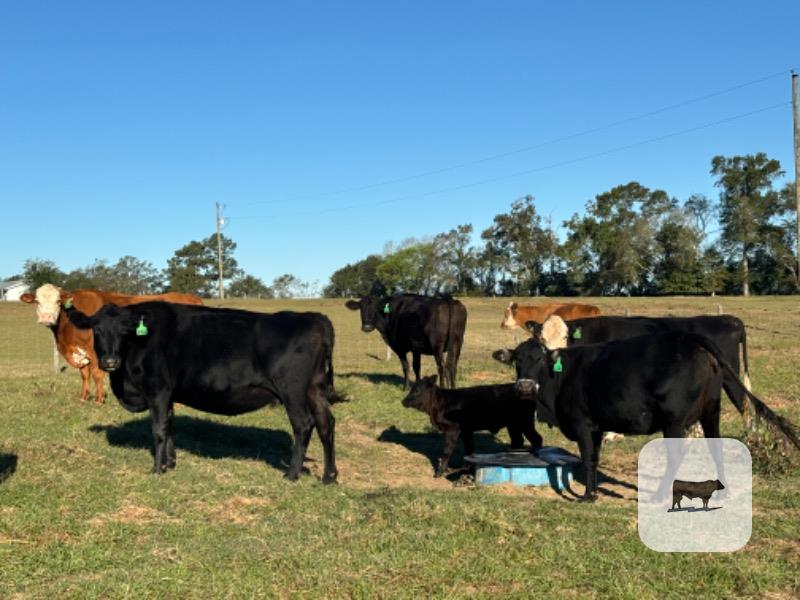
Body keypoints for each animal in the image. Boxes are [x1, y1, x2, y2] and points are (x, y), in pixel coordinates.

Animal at [21, 284, 203, 403]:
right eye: (37, 301)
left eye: (58, 301)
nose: (46, 318)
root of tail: (191, 297)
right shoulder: (80, 352)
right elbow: (84, 374)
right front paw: (83, 397)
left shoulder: (95, 351)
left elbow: (96, 374)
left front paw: (99, 400)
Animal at [66, 301, 342, 482]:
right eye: (96, 329)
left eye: (125, 330)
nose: (110, 361)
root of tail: (314, 318)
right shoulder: (169, 394)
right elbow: (170, 425)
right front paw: (170, 463)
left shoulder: (157, 389)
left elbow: (158, 429)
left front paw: (157, 469)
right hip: (315, 388)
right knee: (326, 424)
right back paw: (329, 476)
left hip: (292, 391)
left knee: (304, 425)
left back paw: (292, 473)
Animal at [401, 375, 542, 477]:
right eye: (412, 388)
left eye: (417, 390)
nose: (404, 401)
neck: (440, 403)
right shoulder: (466, 431)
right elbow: (469, 449)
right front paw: (468, 468)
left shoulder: (453, 430)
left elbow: (447, 451)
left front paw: (439, 472)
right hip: (513, 425)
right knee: (518, 440)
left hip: (525, 424)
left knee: (536, 439)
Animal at [492, 329, 799, 502]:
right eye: (517, 360)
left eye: (540, 359)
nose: (525, 386)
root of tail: (687, 338)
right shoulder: (598, 427)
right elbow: (595, 458)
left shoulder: (583, 425)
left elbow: (589, 459)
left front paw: (588, 496)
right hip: (711, 412)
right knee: (716, 448)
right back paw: (725, 490)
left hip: (674, 421)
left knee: (676, 457)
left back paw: (661, 496)